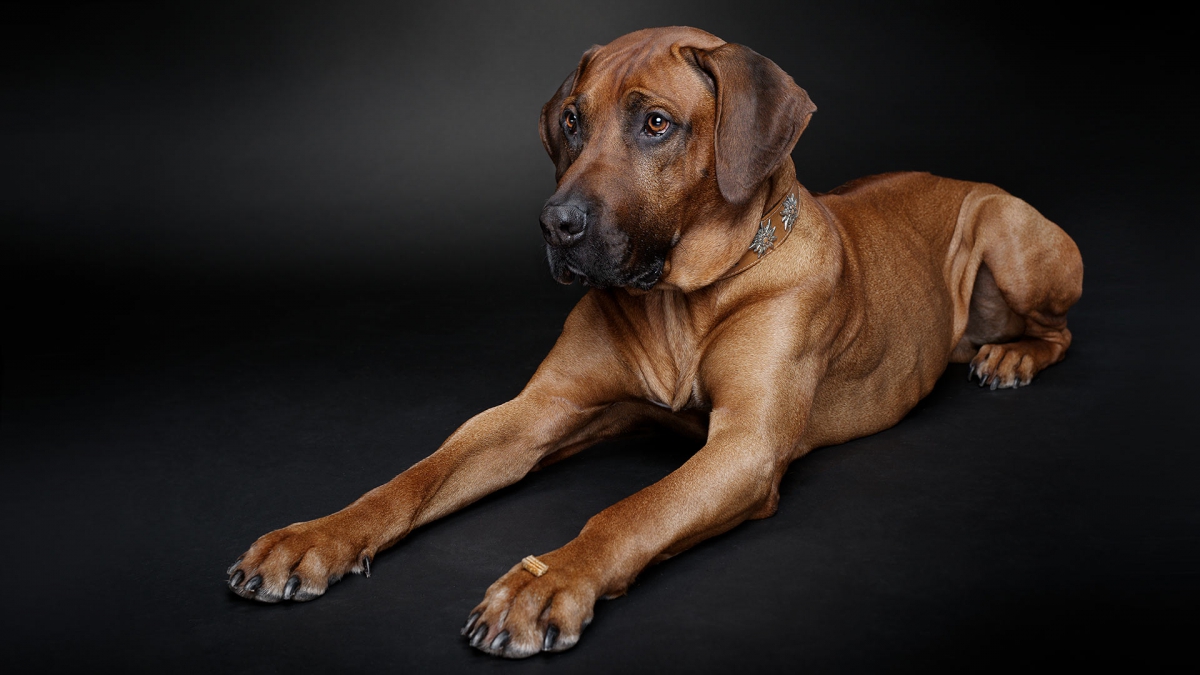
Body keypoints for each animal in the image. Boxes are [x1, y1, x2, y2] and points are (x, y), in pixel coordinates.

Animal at [223, 26, 1080, 658]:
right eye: (572, 120)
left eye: (656, 123)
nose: (555, 225)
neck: (676, 299)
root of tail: (960, 176)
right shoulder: (535, 413)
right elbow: (409, 480)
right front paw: (314, 537)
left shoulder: (744, 447)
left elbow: (630, 511)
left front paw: (546, 580)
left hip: (1010, 235)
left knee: (1059, 329)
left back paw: (1008, 356)